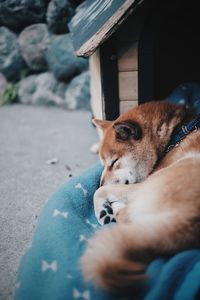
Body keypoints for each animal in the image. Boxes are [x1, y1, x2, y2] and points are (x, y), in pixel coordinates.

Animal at [80, 101, 200, 296]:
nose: (98, 183)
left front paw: (101, 210)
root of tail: (186, 222)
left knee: (125, 215)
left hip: (151, 184)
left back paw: (112, 209)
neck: (176, 134)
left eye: (113, 162)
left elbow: (100, 192)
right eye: (103, 163)